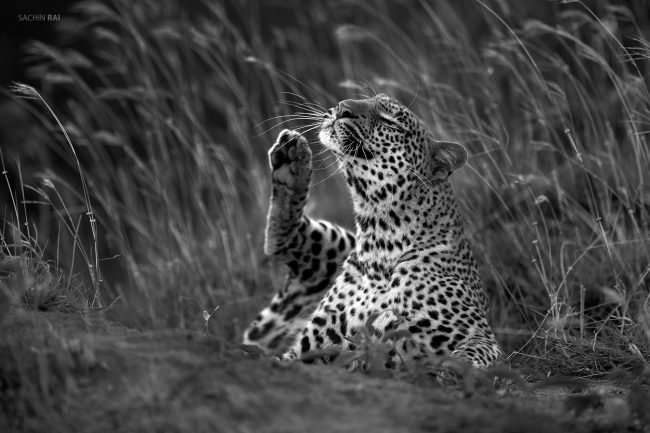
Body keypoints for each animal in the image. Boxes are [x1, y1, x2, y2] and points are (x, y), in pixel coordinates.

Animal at [243, 93, 502, 368]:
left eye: (390, 122)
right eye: (369, 99)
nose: (344, 106)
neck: (379, 240)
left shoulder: (479, 335)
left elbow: (467, 358)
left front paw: (448, 371)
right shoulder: (308, 350)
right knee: (280, 245)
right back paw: (291, 159)